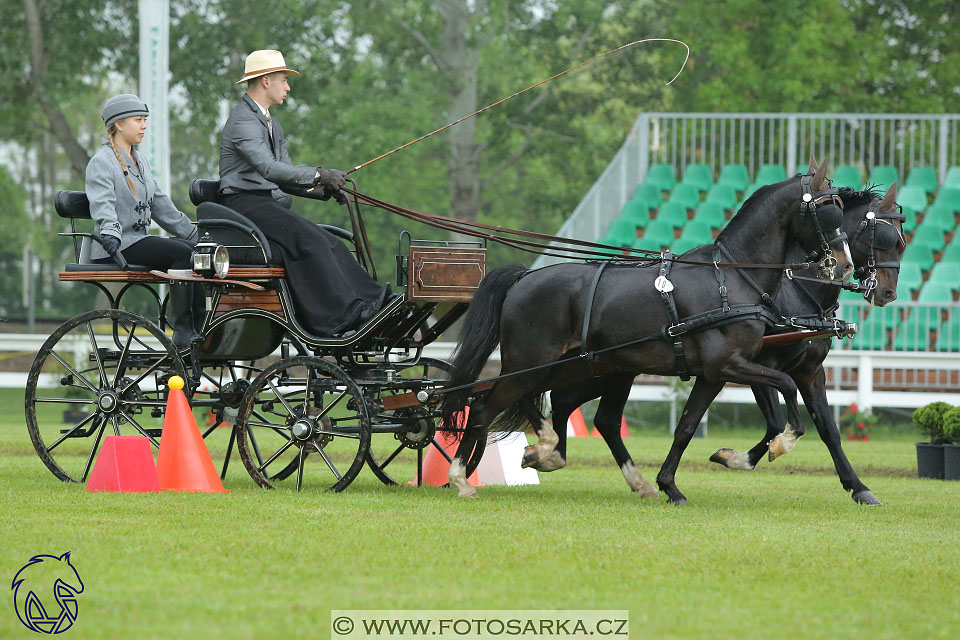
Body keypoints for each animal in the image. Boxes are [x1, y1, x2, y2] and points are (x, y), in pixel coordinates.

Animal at [440, 156, 848, 500]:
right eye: (829, 209)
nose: (843, 265)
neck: (731, 277)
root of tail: (525, 277)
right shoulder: (729, 363)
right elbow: (787, 386)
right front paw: (782, 443)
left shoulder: (717, 372)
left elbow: (688, 425)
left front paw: (671, 484)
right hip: (531, 362)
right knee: (483, 407)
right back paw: (462, 479)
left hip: (573, 365)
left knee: (554, 405)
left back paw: (552, 452)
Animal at [528, 182, 904, 508]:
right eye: (883, 238)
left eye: (902, 242)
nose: (887, 293)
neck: (793, 293)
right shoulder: (755, 367)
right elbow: (773, 422)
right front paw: (739, 457)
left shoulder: (809, 371)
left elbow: (827, 429)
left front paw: (858, 487)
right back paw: (551, 451)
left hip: (611, 368)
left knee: (587, 410)